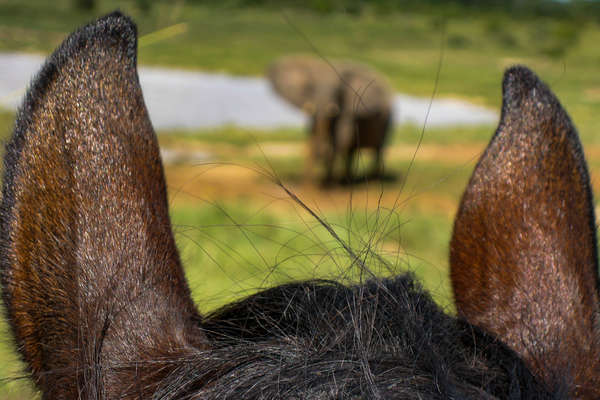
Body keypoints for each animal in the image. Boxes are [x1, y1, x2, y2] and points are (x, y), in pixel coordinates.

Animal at [268, 54, 394, 184]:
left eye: (338, 91)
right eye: (311, 87)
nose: (321, 153)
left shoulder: (348, 110)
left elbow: (340, 139)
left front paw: (329, 185)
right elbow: (312, 135)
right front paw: (309, 185)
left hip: (388, 118)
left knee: (378, 149)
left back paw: (372, 182)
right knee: (352, 151)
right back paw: (349, 181)